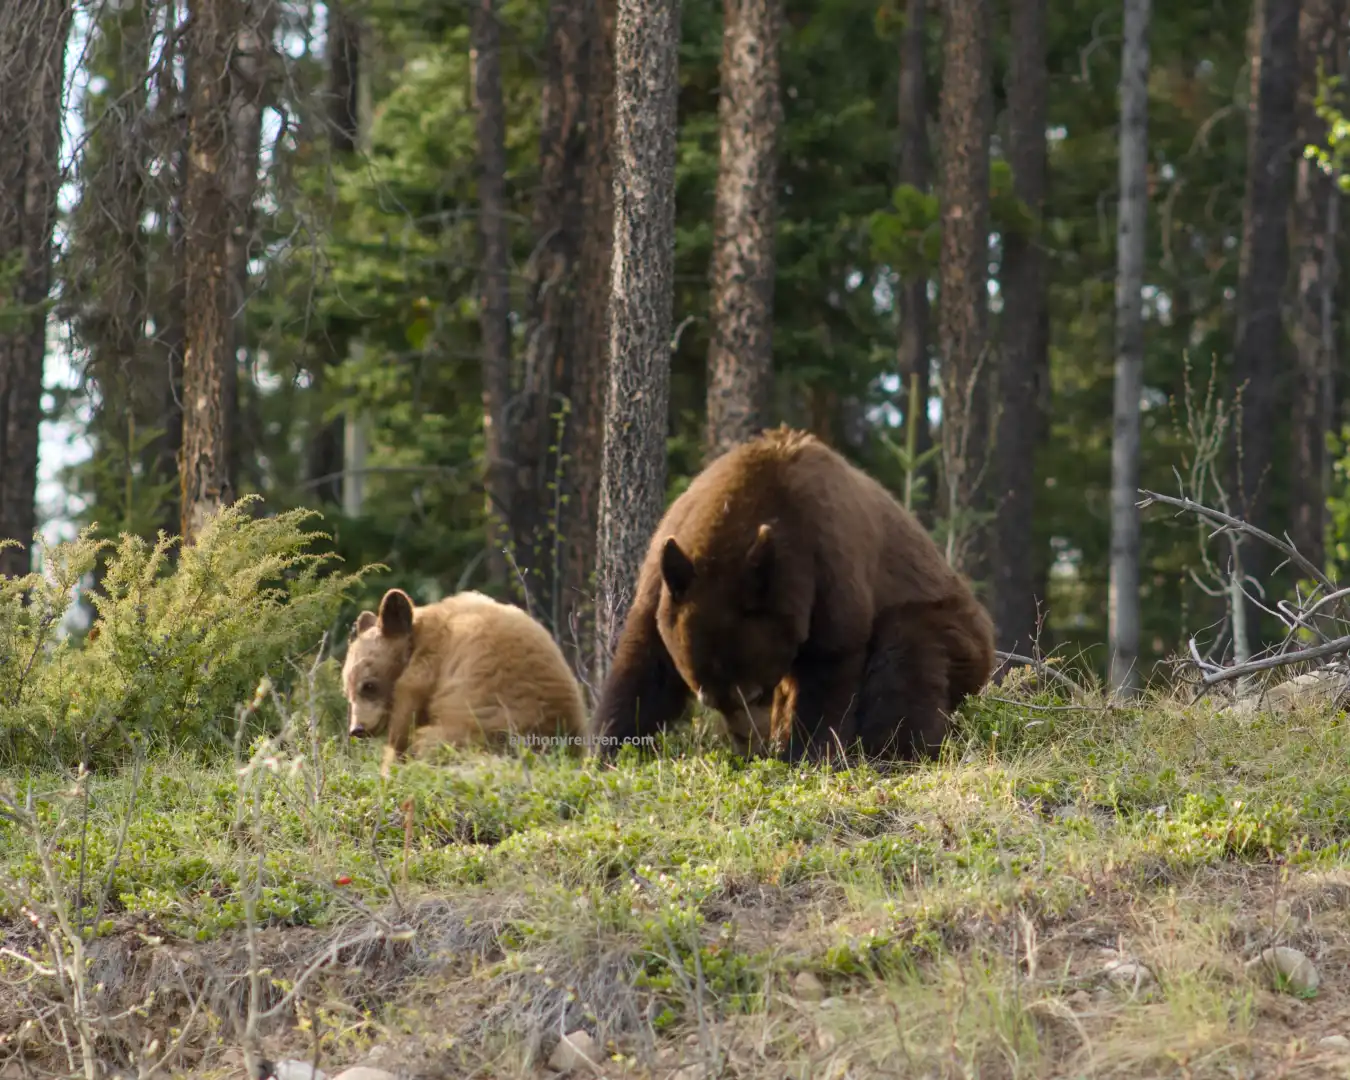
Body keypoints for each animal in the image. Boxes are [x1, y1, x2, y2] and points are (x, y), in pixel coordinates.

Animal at [591, 421, 993, 761]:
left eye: (755, 691)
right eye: (709, 698)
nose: (750, 746)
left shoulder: (827, 564)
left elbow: (830, 661)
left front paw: (804, 753)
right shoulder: (665, 573)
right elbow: (645, 661)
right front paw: (611, 747)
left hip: (956, 633)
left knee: (907, 656)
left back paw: (895, 750)